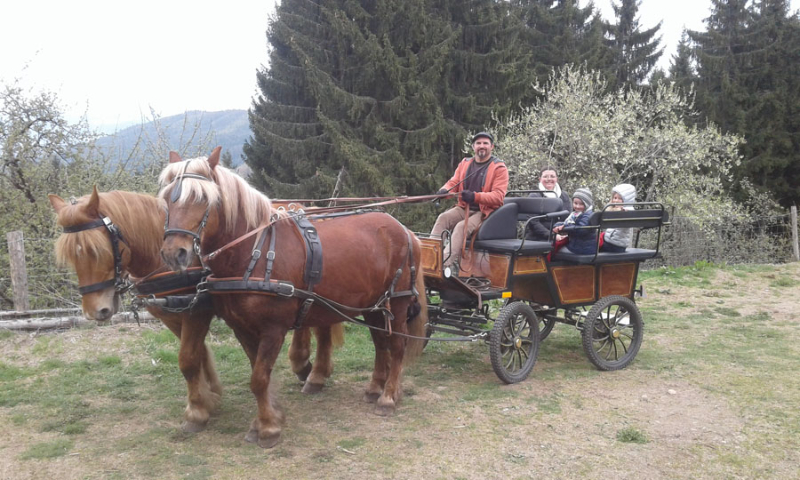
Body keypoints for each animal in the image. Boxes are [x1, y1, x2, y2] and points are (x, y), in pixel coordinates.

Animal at [47, 187, 340, 432]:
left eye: (97, 250)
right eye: (71, 255)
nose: (95, 311)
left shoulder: (197, 311)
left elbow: (188, 359)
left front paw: (197, 412)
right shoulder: (172, 315)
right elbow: (198, 355)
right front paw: (210, 396)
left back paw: (308, 369)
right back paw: (309, 369)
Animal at [159, 148, 428, 448]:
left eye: (203, 199)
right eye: (167, 199)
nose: (175, 253)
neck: (254, 253)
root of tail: (404, 231)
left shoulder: (274, 328)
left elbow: (259, 378)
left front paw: (268, 428)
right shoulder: (242, 327)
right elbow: (258, 374)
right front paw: (267, 419)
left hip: (397, 302)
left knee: (397, 346)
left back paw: (388, 396)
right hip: (373, 306)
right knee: (381, 344)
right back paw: (374, 388)